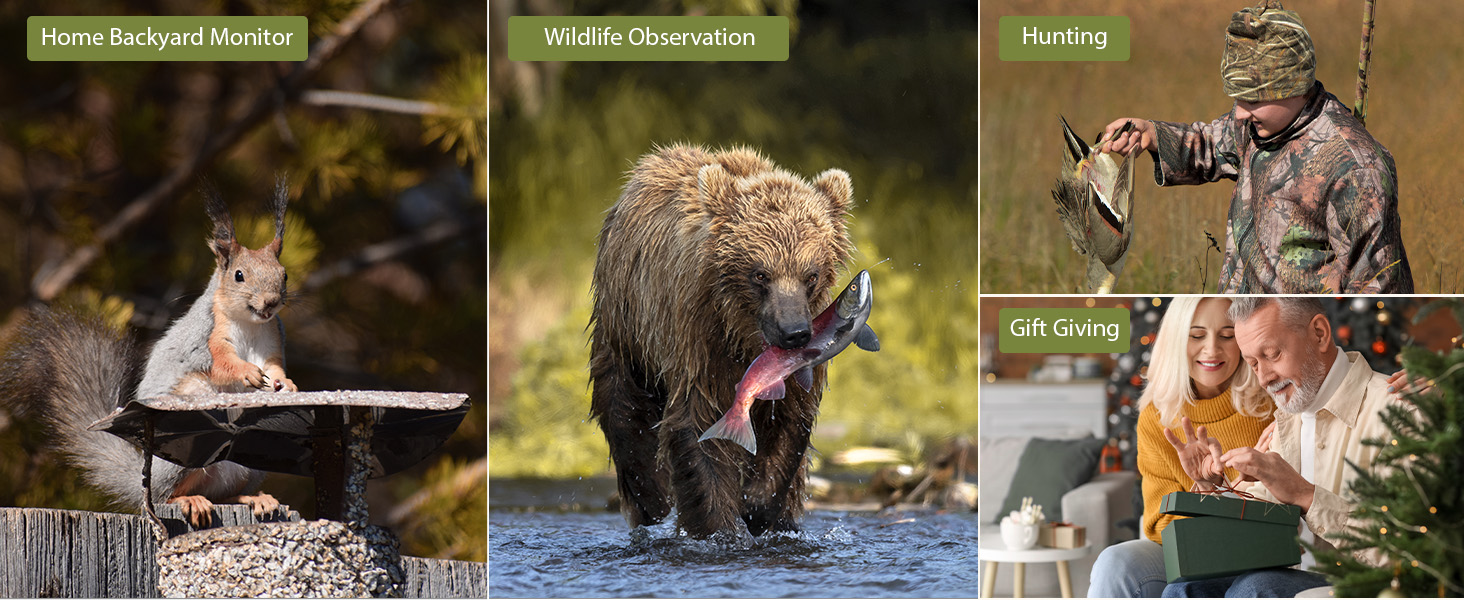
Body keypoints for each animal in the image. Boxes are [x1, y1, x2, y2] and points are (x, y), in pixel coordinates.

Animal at [1, 179, 297, 528]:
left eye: (284, 274)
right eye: (239, 275)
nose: (270, 303)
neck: (250, 324)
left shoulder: (272, 341)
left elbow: (275, 368)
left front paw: (287, 385)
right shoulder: (206, 340)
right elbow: (222, 365)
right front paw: (246, 372)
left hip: (251, 461)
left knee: (225, 495)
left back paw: (256, 498)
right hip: (183, 452)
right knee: (169, 496)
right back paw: (190, 500)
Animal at [589, 143, 854, 537]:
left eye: (811, 274)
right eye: (760, 274)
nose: (793, 332)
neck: (744, 336)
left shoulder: (802, 355)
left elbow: (792, 419)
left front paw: (758, 505)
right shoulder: (699, 338)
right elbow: (700, 425)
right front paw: (720, 525)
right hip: (627, 322)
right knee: (621, 402)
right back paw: (650, 499)